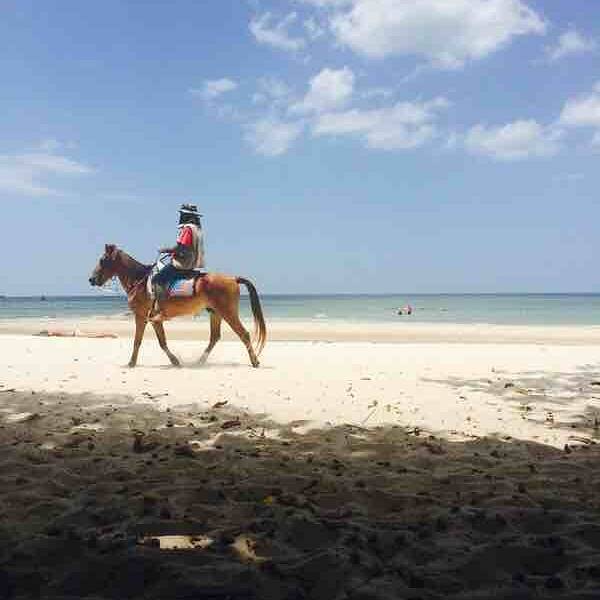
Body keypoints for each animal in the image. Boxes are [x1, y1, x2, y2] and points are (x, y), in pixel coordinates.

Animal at [89, 244, 266, 369]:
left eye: (102, 260)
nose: (91, 279)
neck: (139, 280)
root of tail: (233, 278)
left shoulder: (141, 317)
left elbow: (138, 341)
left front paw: (131, 363)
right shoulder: (154, 320)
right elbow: (162, 342)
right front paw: (174, 361)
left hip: (228, 313)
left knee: (244, 334)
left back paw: (254, 361)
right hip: (215, 313)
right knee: (214, 337)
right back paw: (199, 362)